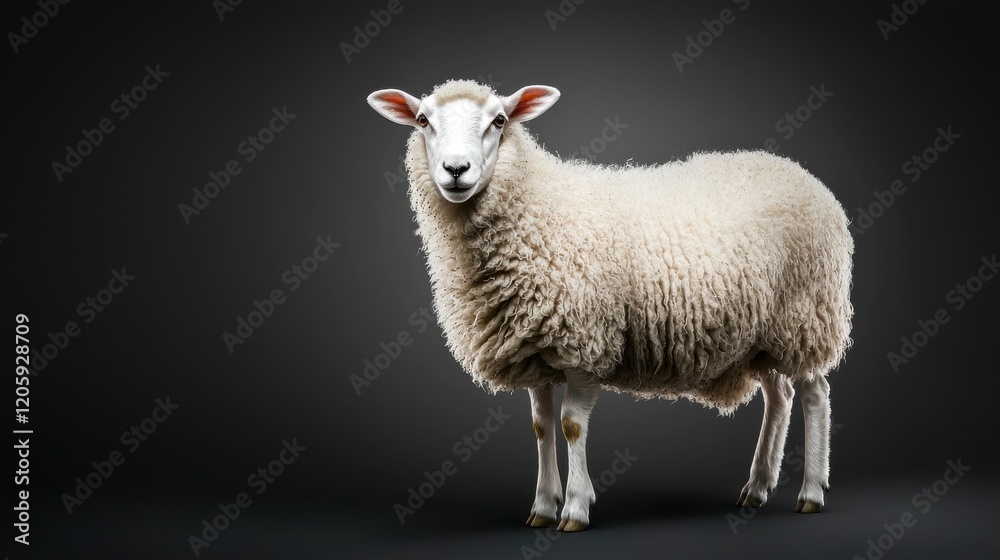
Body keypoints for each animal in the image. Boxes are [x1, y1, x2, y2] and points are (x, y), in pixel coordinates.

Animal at [366, 79, 854, 532]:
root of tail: (801, 173)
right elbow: (541, 426)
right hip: (763, 334)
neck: (537, 208)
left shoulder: (584, 343)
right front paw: (542, 507)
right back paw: (756, 486)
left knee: (814, 395)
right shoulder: (535, 350)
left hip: (805, 317)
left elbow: (571, 425)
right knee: (780, 396)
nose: (455, 170)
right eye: (423, 121)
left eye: (499, 121)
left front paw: (575, 509)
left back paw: (810, 491)